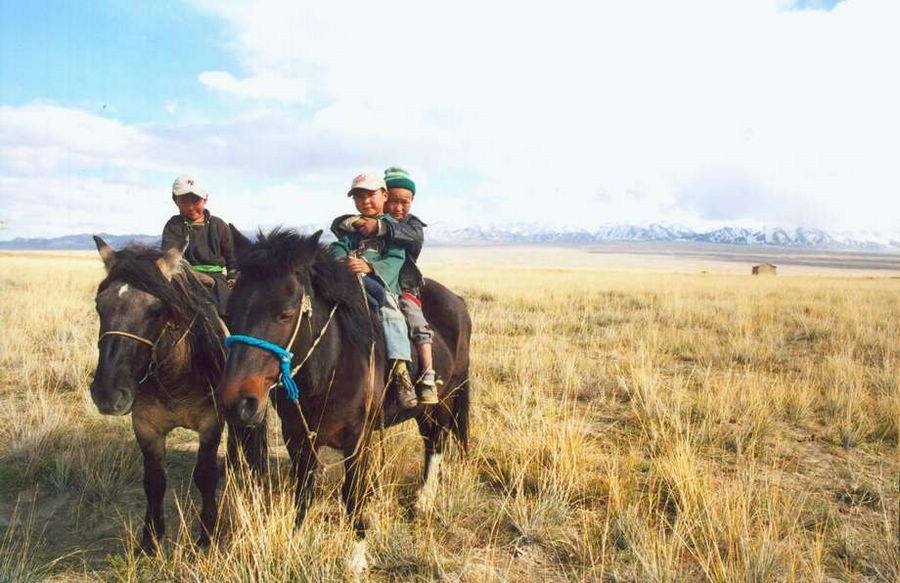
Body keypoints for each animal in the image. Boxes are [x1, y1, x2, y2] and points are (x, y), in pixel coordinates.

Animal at [218, 229, 472, 576]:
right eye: (229, 314)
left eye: (285, 314)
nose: (237, 403)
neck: (328, 366)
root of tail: (457, 301)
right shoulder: (297, 438)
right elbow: (304, 493)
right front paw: (298, 541)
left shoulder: (358, 440)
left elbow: (352, 495)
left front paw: (356, 557)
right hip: (422, 410)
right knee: (431, 439)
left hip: (443, 400)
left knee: (437, 442)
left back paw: (424, 501)